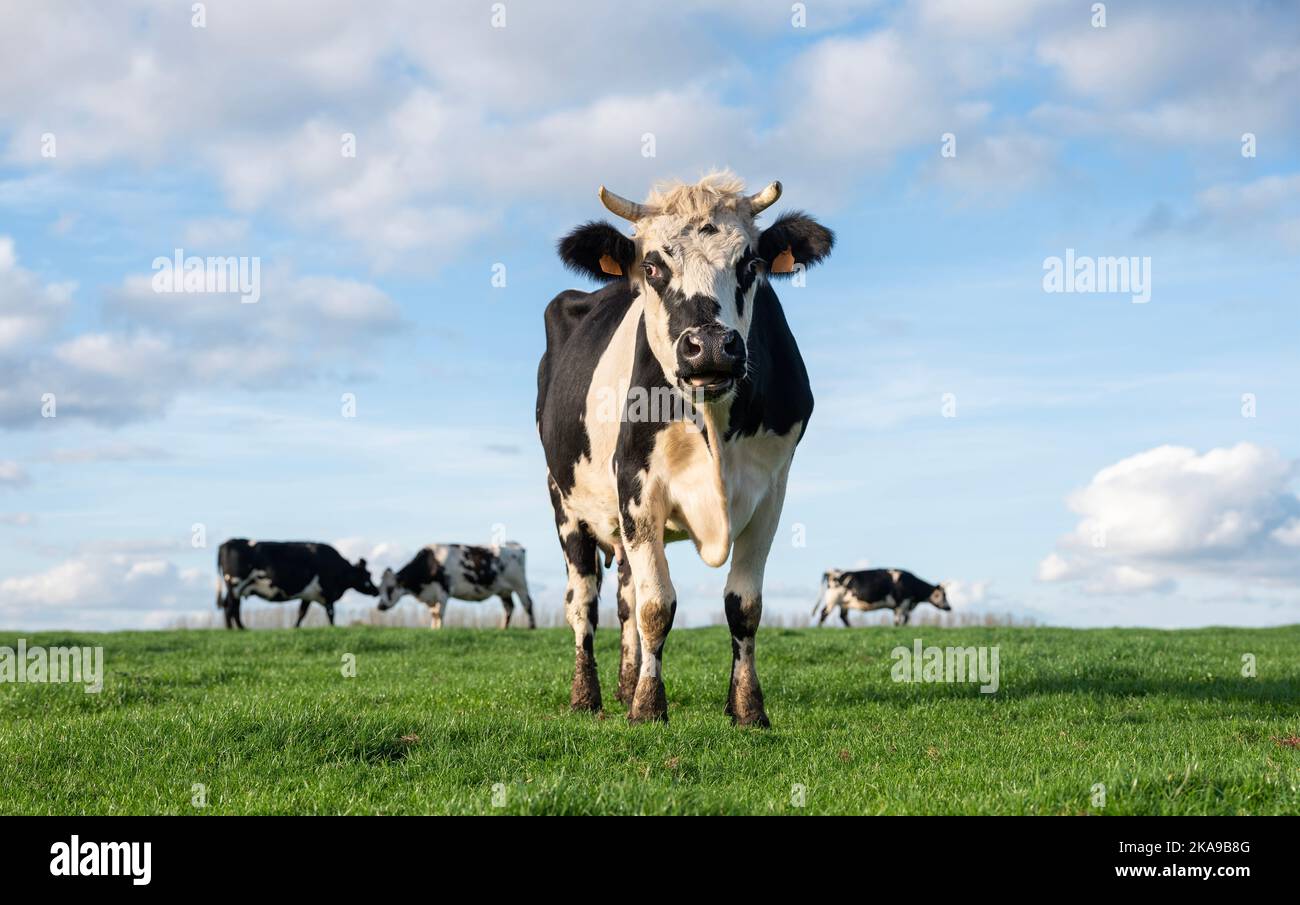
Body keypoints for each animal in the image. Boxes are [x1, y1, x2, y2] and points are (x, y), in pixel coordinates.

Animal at [215, 538, 379, 629]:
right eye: (368, 574)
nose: (376, 591)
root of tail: (226, 543)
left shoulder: (308, 595)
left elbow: (301, 613)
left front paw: (295, 628)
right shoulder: (328, 593)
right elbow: (331, 613)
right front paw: (333, 628)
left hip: (235, 588)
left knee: (230, 606)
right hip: (235, 585)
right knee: (232, 608)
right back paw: (237, 628)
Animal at [377, 543, 538, 629]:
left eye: (390, 588)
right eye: (379, 589)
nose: (380, 606)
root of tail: (517, 547)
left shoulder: (444, 590)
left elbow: (440, 613)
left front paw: (439, 629)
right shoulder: (431, 595)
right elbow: (433, 614)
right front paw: (432, 629)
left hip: (520, 584)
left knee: (527, 604)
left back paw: (531, 627)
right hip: (503, 590)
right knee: (509, 607)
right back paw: (503, 628)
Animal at [535, 171, 832, 728]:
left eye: (750, 265)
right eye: (653, 266)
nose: (711, 346)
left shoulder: (772, 490)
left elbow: (743, 605)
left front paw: (747, 709)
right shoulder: (637, 486)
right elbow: (657, 607)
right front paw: (649, 708)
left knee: (625, 597)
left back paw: (625, 683)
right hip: (565, 502)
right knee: (583, 601)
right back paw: (588, 698)